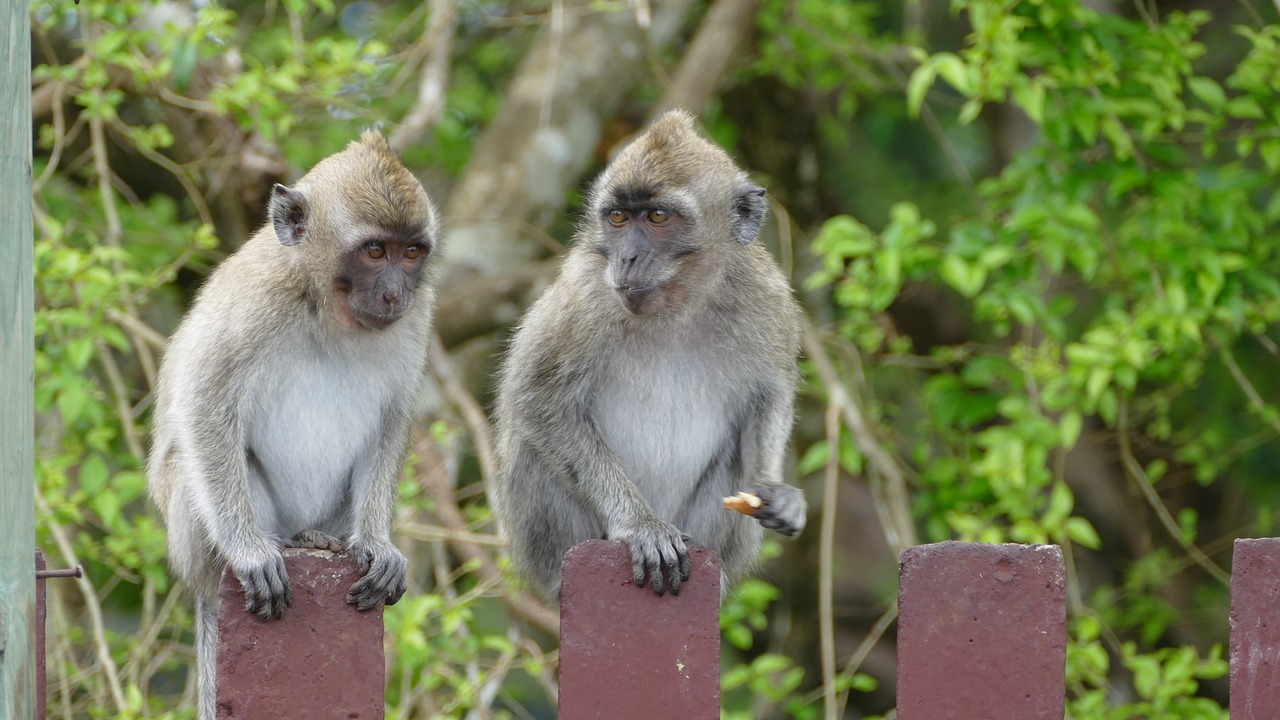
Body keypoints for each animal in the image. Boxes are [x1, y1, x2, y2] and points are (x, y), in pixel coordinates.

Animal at [146, 130, 440, 717]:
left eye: (412, 252)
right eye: (376, 251)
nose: (394, 293)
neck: (326, 302)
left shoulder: (418, 316)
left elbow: (392, 419)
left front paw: (377, 542)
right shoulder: (256, 298)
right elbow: (203, 398)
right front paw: (247, 550)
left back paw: (320, 539)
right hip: (191, 534)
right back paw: (255, 550)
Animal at [491, 109, 803, 602]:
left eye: (658, 216)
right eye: (618, 217)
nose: (628, 258)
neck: (678, 306)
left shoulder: (767, 298)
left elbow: (768, 398)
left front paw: (775, 491)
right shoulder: (585, 295)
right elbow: (536, 401)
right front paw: (640, 525)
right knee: (531, 447)